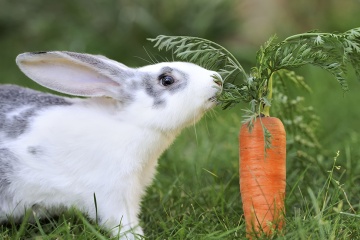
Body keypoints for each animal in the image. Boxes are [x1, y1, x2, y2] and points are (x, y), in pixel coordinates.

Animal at [0, 51, 222, 239]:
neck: (131, 122)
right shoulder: (113, 194)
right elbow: (123, 223)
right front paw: (136, 236)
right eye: (166, 80)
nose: (218, 79)